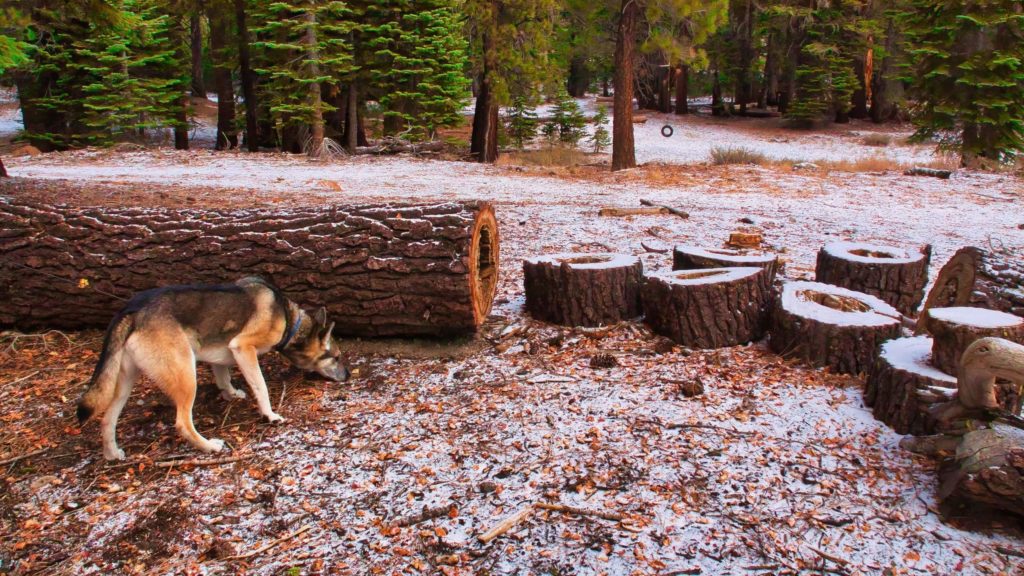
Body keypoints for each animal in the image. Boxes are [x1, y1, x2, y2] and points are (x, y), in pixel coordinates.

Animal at [74, 276, 348, 459]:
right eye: (336, 357)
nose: (347, 375)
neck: (290, 321)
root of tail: (133, 310)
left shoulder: (222, 353)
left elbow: (223, 376)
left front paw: (231, 393)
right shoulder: (243, 347)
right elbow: (261, 387)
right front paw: (270, 415)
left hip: (124, 383)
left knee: (106, 419)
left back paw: (112, 454)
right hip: (186, 376)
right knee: (182, 423)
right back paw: (210, 446)